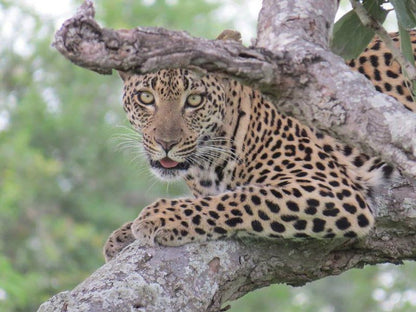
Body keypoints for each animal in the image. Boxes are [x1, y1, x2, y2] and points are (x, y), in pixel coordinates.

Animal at [102, 31, 414, 262]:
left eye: (194, 100)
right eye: (145, 97)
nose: (166, 143)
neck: (204, 166)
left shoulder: (332, 189)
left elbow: (241, 198)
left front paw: (161, 217)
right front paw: (122, 235)